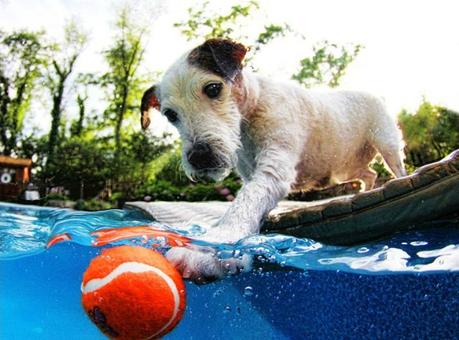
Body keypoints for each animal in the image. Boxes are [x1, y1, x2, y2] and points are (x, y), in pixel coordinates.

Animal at [140, 38, 406, 282]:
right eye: (170, 115)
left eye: (213, 89)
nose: (200, 157)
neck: (253, 109)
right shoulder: (251, 174)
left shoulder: (272, 168)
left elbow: (245, 202)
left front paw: (211, 248)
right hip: (346, 168)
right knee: (369, 174)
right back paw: (364, 191)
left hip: (387, 143)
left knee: (395, 167)